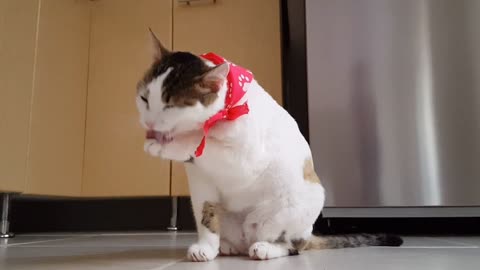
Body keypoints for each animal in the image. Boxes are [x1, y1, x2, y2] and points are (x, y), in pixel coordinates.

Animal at [136, 30, 402, 262]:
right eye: (144, 98)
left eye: (171, 106)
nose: (149, 123)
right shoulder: (201, 182)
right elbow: (206, 216)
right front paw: (206, 248)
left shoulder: (246, 158)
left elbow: (206, 143)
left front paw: (169, 145)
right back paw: (227, 246)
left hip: (297, 206)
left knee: (293, 245)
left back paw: (266, 248)